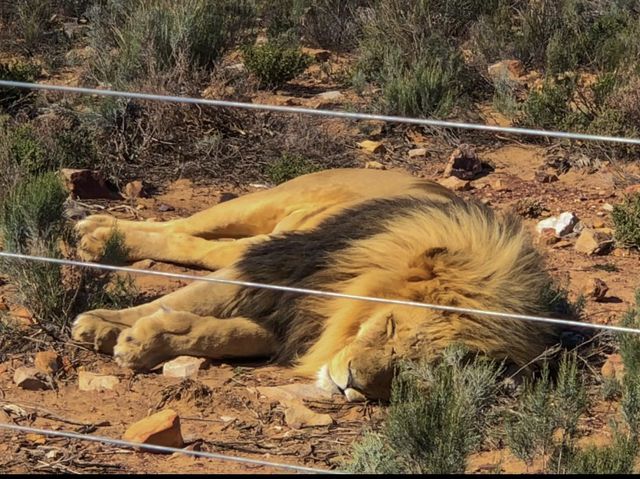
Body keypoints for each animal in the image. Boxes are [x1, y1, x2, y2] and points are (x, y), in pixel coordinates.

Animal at [70, 168, 564, 402]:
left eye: (414, 370)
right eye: (389, 328)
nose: (351, 384)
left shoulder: (293, 317)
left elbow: (222, 333)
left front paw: (151, 339)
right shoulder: (281, 268)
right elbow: (190, 296)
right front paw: (106, 325)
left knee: (193, 244)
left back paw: (99, 237)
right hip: (261, 207)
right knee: (179, 227)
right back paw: (96, 233)